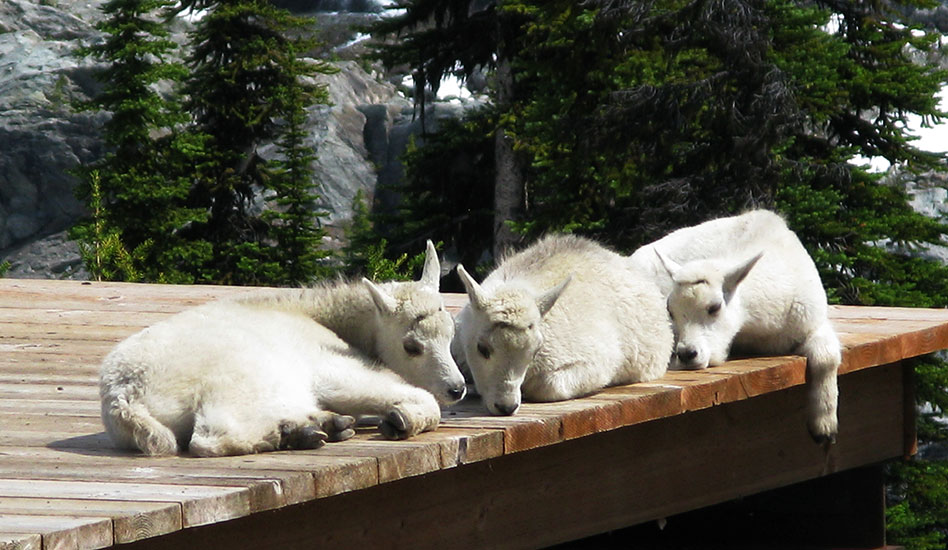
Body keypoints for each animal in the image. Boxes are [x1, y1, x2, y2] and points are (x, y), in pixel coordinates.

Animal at [99, 242, 462, 458]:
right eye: (411, 346)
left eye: (450, 333)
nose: (456, 388)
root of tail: (125, 398)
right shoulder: (332, 364)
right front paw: (402, 420)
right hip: (245, 376)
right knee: (211, 436)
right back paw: (296, 433)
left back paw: (319, 424)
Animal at [628, 209, 836, 446]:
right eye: (670, 310)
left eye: (715, 306)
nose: (687, 354)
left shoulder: (812, 322)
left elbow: (827, 357)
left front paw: (825, 428)